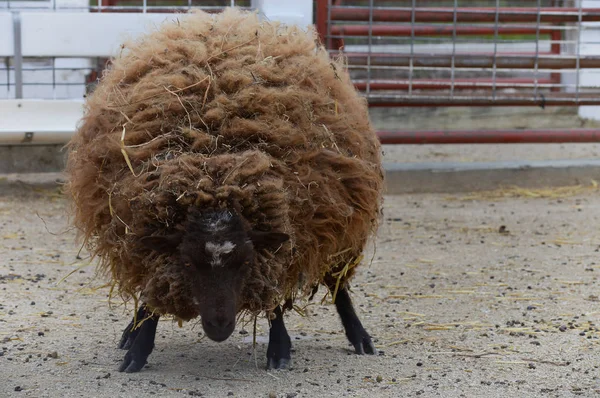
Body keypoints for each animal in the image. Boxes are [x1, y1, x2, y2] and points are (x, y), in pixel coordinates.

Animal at [67, 7, 384, 372]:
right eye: (189, 264)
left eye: (244, 263)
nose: (219, 328)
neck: (214, 170)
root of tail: (228, 19)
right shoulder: (145, 241)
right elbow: (153, 293)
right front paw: (139, 345)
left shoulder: (283, 240)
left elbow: (273, 297)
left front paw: (279, 348)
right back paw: (131, 332)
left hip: (338, 229)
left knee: (338, 284)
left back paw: (359, 336)